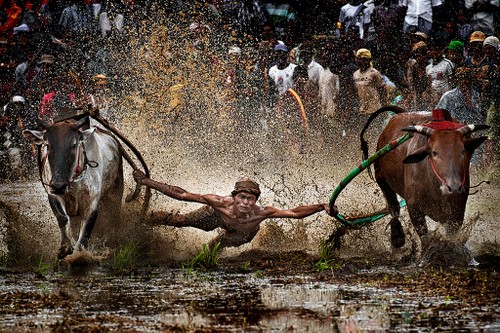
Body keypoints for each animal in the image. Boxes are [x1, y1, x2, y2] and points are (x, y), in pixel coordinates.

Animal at [22, 116, 125, 260]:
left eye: (74, 145)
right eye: (48, 145)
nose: (59, 185)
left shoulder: (92, 199)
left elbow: (88, 224)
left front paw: (79, 252)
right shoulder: (53, 194)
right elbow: (62, 218)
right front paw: (65, 247)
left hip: (116, 191)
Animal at [362, 106, 486, 249]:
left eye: (462, 151)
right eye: (434, 152)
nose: (454, 187)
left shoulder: (457, 212)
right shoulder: (414, 208)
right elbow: (424, 237)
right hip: (381, 177)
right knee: (394, 208)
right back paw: (397, 236)